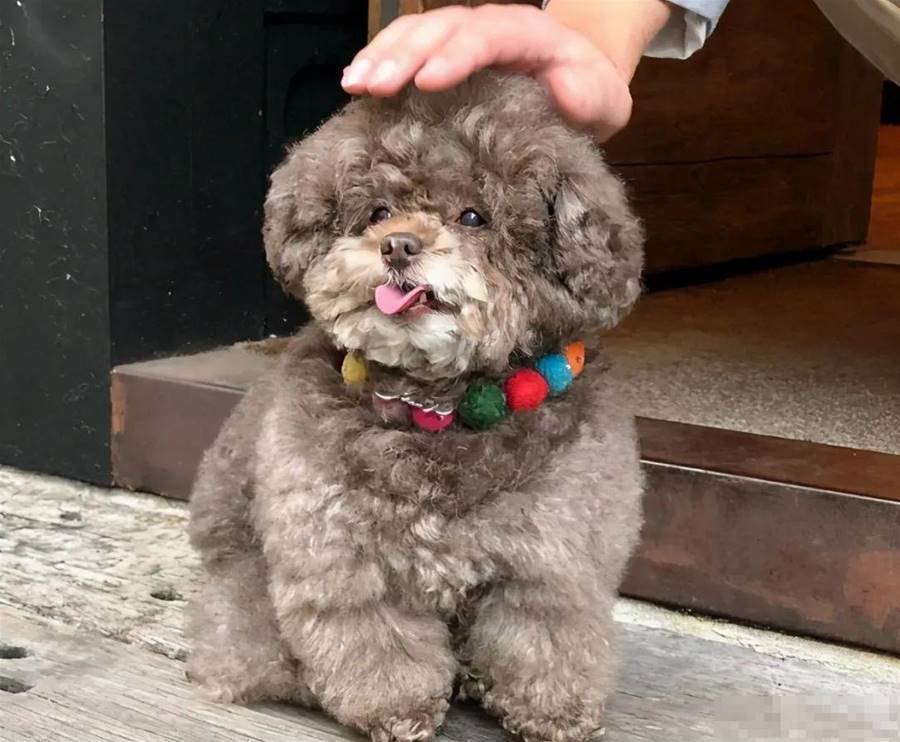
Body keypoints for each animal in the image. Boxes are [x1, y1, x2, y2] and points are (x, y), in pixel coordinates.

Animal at [187, 72, 645, 742]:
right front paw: (399, 710)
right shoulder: (344, 557)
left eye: (474, 216)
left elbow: (543, 637)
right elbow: (379, 645)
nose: (398, 244)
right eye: (378, 212)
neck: (437, 404)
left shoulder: (551, 555)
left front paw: (552, 712)